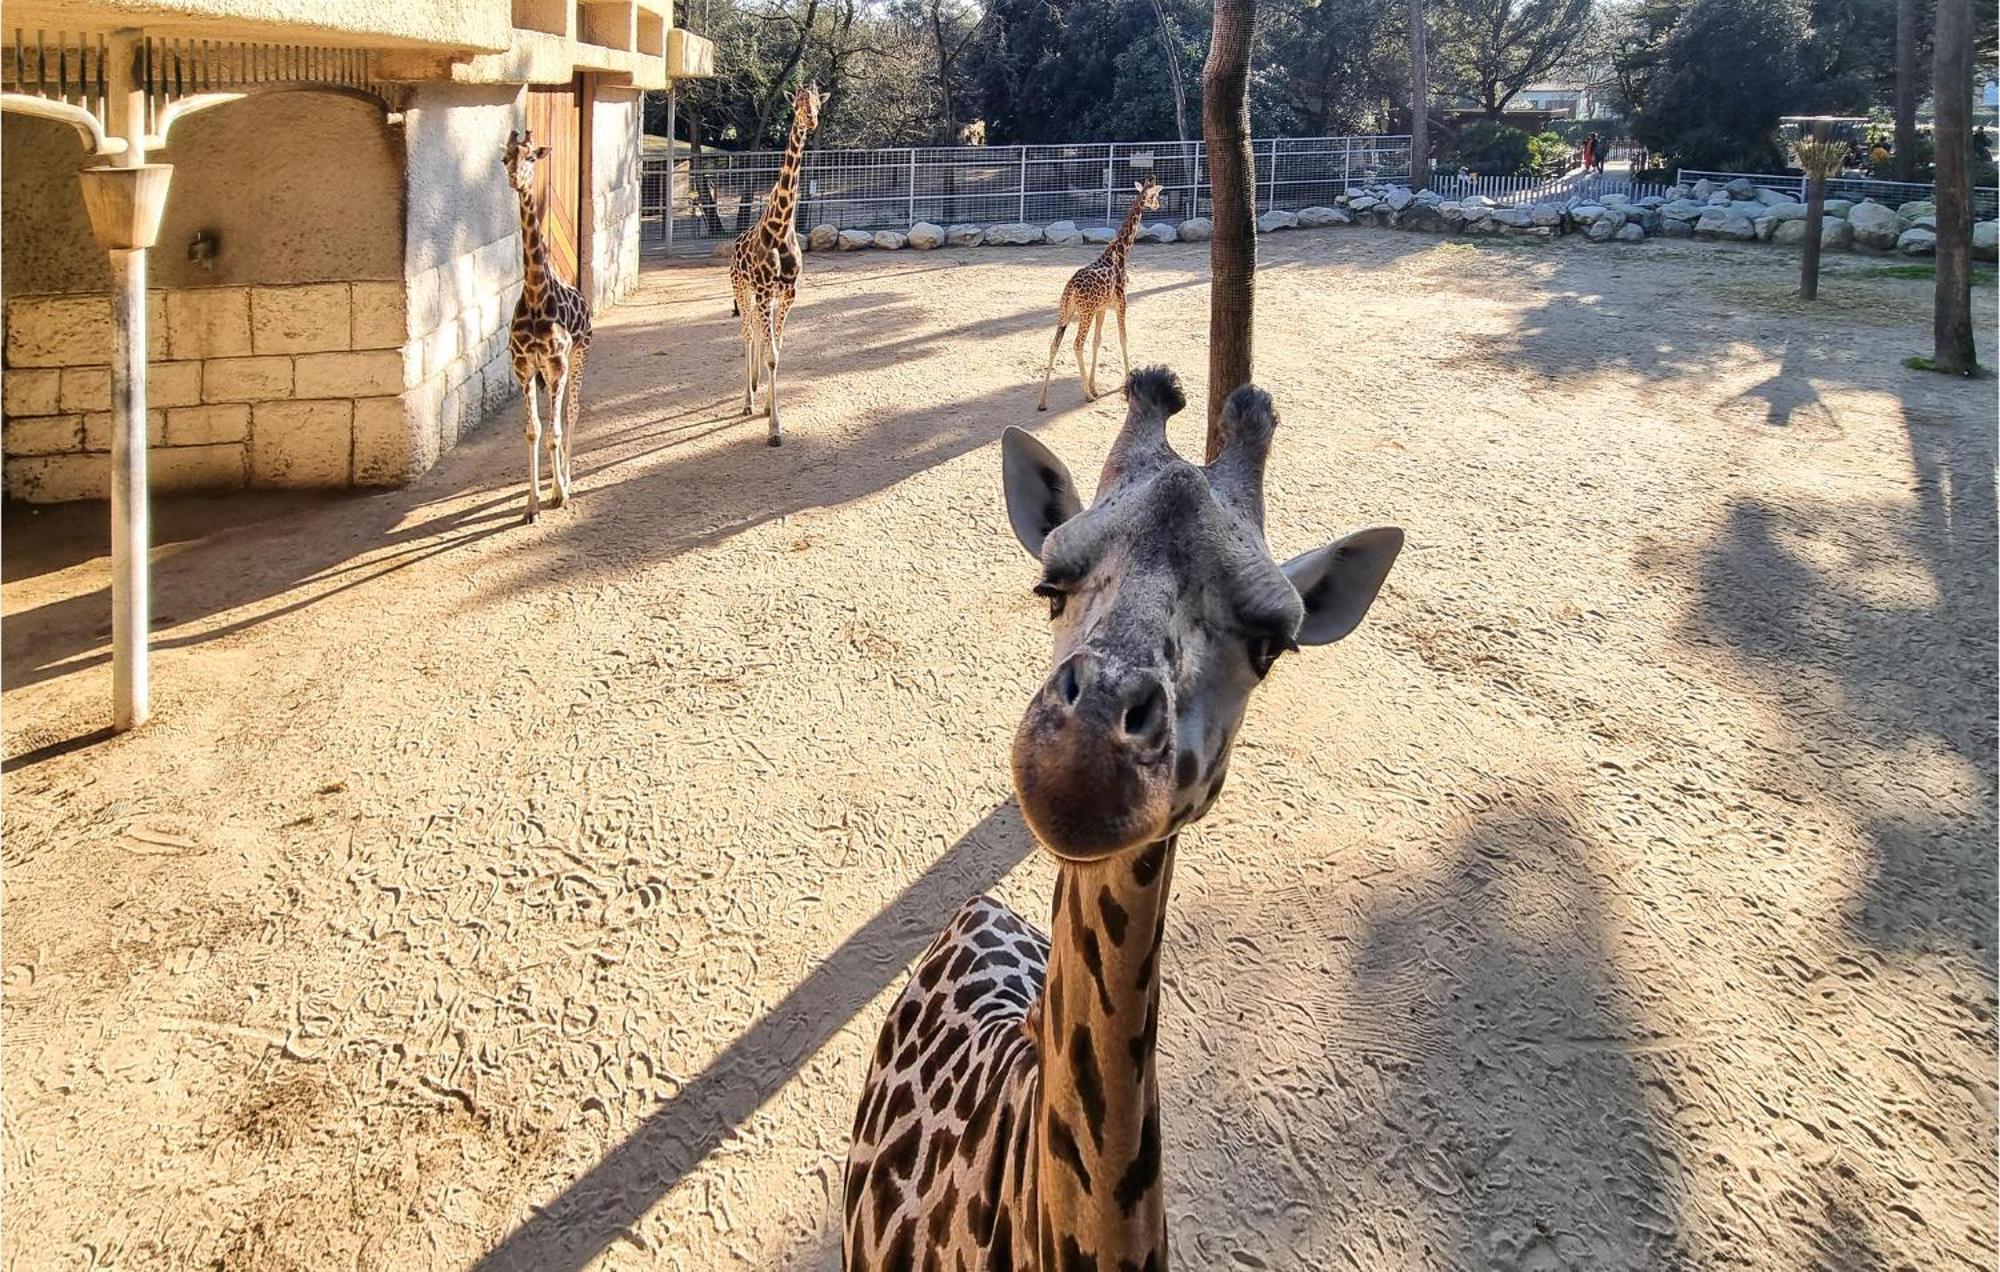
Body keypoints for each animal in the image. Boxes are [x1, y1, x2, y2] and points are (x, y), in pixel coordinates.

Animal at [1040, 175, 1168, 408]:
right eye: (1155, 195)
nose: (1157, 205)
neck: (1121, 251)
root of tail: (1070, 289)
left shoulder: (1102, 309)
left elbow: (1097, 341)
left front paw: (1094, 386)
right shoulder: (1121, 303)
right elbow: (1123, 338)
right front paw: (1127, 380)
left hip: (1066, 312)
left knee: (1054, 344)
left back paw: (1043, 401)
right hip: (1085, 313)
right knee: (1076, 344)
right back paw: (1086, 396)